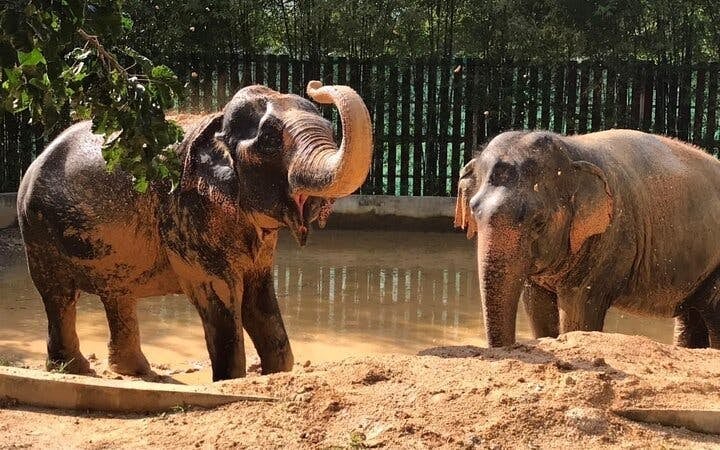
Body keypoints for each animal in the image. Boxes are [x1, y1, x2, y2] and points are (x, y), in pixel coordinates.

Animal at [17, 81, 373, 381]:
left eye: (331, 131)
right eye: (270, 142)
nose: (316, 85)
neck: (216, 122)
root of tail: (37, 158)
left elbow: (259, 297)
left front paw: (276, 374)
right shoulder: (186, 213)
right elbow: (221, 295)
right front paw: (229, 381)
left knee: (117, 293)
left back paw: (135, 373)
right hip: (38, 230)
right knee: (59, 293)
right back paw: (73, 370)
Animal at [454, 129, 720, 349]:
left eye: (539, 222)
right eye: (474, 212)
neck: (572, 148)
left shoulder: (610, 239)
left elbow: (578, 311)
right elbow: (536, 305)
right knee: (692, 315)